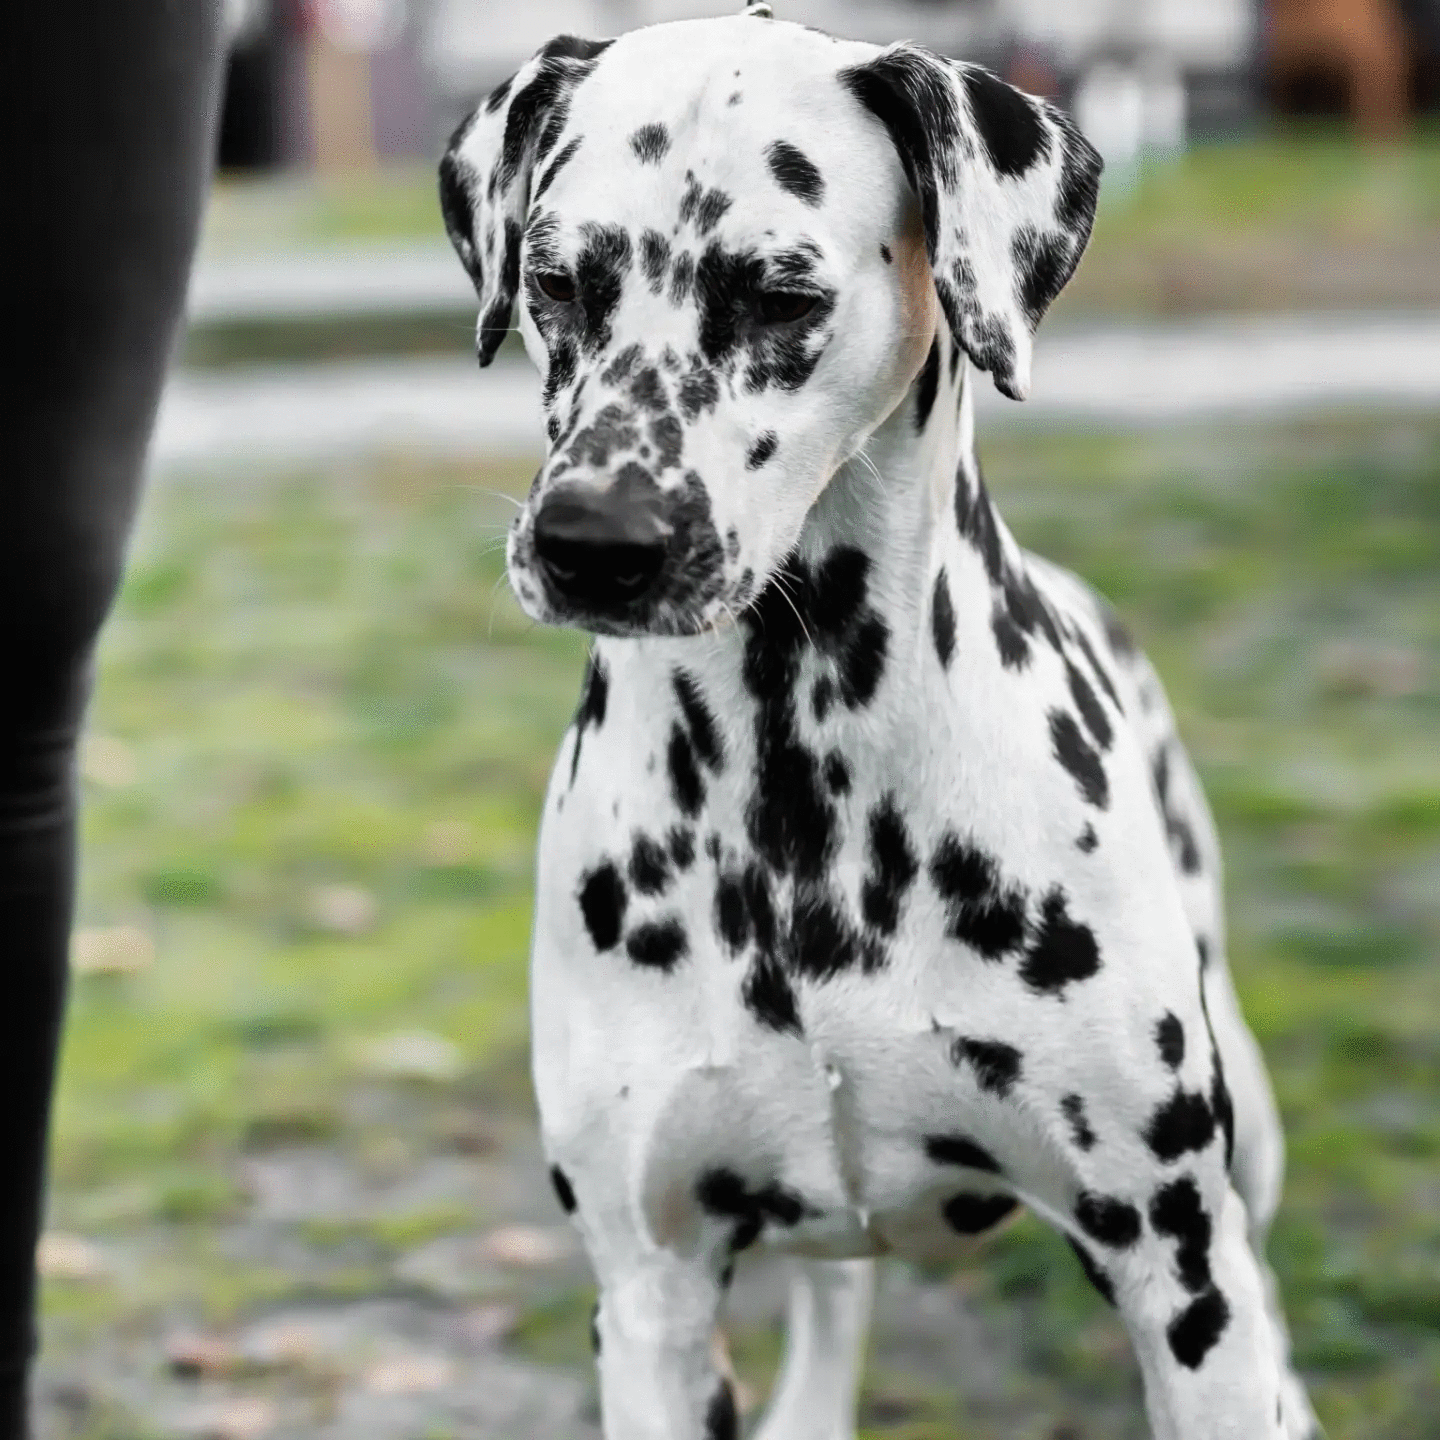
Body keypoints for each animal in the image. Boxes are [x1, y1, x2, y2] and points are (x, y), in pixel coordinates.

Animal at [440, 8, 1318, 1437]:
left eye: (779, 294)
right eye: (556, 283)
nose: (592, 543)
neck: (800, 787)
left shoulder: (1173, 1266)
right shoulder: (649, 1297)